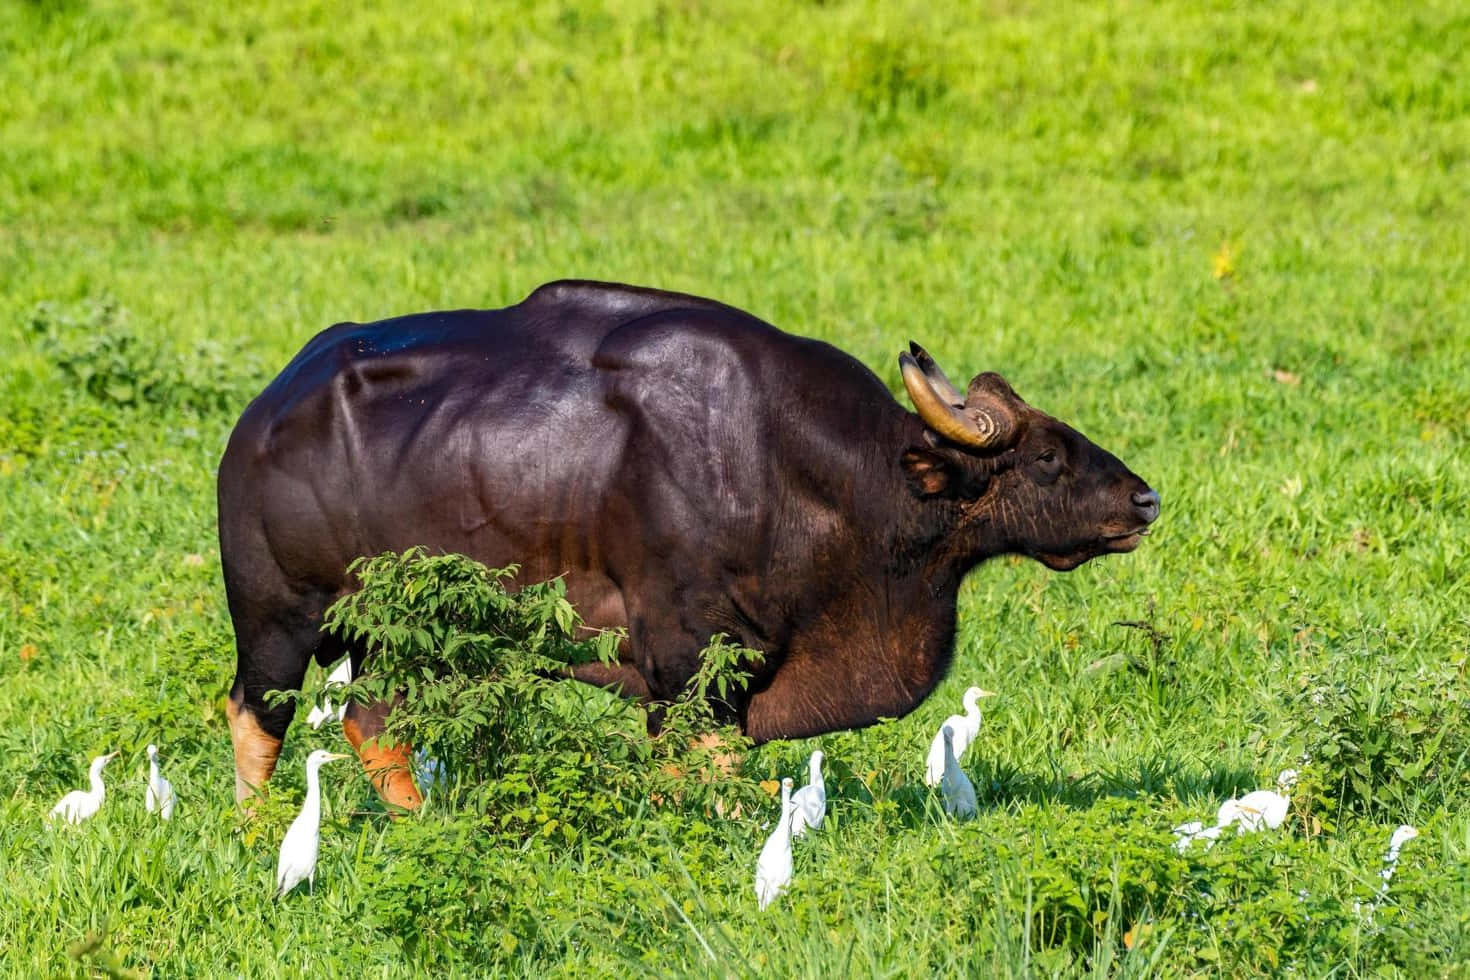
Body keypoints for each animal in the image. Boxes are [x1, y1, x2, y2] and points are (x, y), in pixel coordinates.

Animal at [217, 279, 1158, 811]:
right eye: (1046, 457)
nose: (1146, 499)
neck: (808, 472)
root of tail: (262, 416)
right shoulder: (687, 657)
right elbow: (705, 775)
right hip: (277, 619)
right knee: (256, 715)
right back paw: (257, 830)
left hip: (391, 637)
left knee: (374, 721)